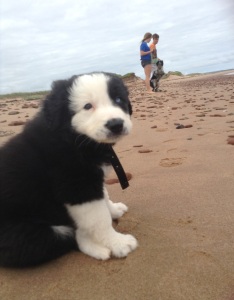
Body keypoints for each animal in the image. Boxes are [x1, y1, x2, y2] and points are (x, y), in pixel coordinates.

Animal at [0, 72, 137, 268]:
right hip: (33, 236)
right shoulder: (77, 185)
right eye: (87, 106)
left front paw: (114, 209)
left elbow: (104, 197)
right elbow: (99, 218)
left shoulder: (92, 178)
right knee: (68, 236)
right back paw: (97, 248)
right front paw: (118, 243)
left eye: (118, 99)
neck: (73, 137)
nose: (116, 124)